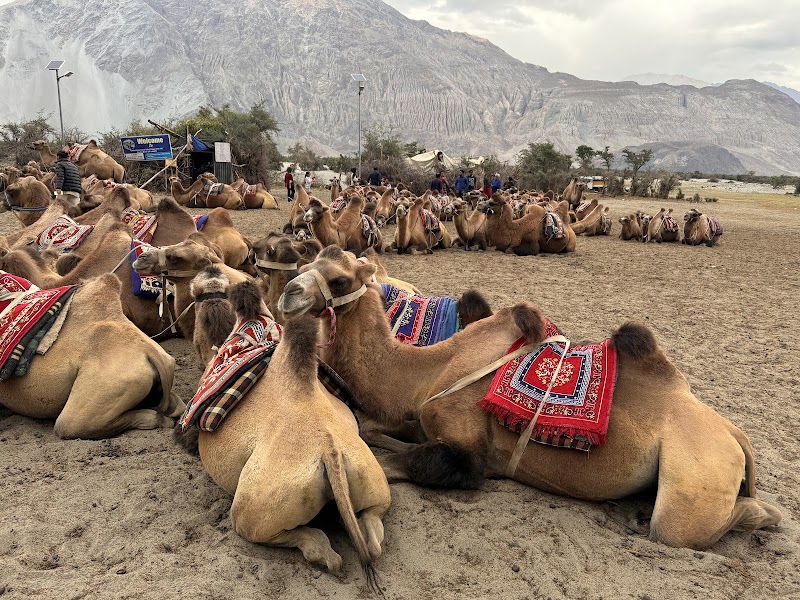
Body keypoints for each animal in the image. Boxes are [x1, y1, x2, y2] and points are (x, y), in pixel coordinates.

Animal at [195, 282, 391, 578]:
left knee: (265, 530)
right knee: (373, 526)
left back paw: (322, 555)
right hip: (372, 479)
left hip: (254, 510)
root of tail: (329, 450)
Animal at [277, 246, 783, 550]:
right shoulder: (415, 415)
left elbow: (408, 462)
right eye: (307, 262)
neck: (430, 370)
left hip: (696, 480)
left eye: (340, 280)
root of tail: (734, 434)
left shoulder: (468, 454)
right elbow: (374, 429)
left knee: (722, 518)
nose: (287, 293)